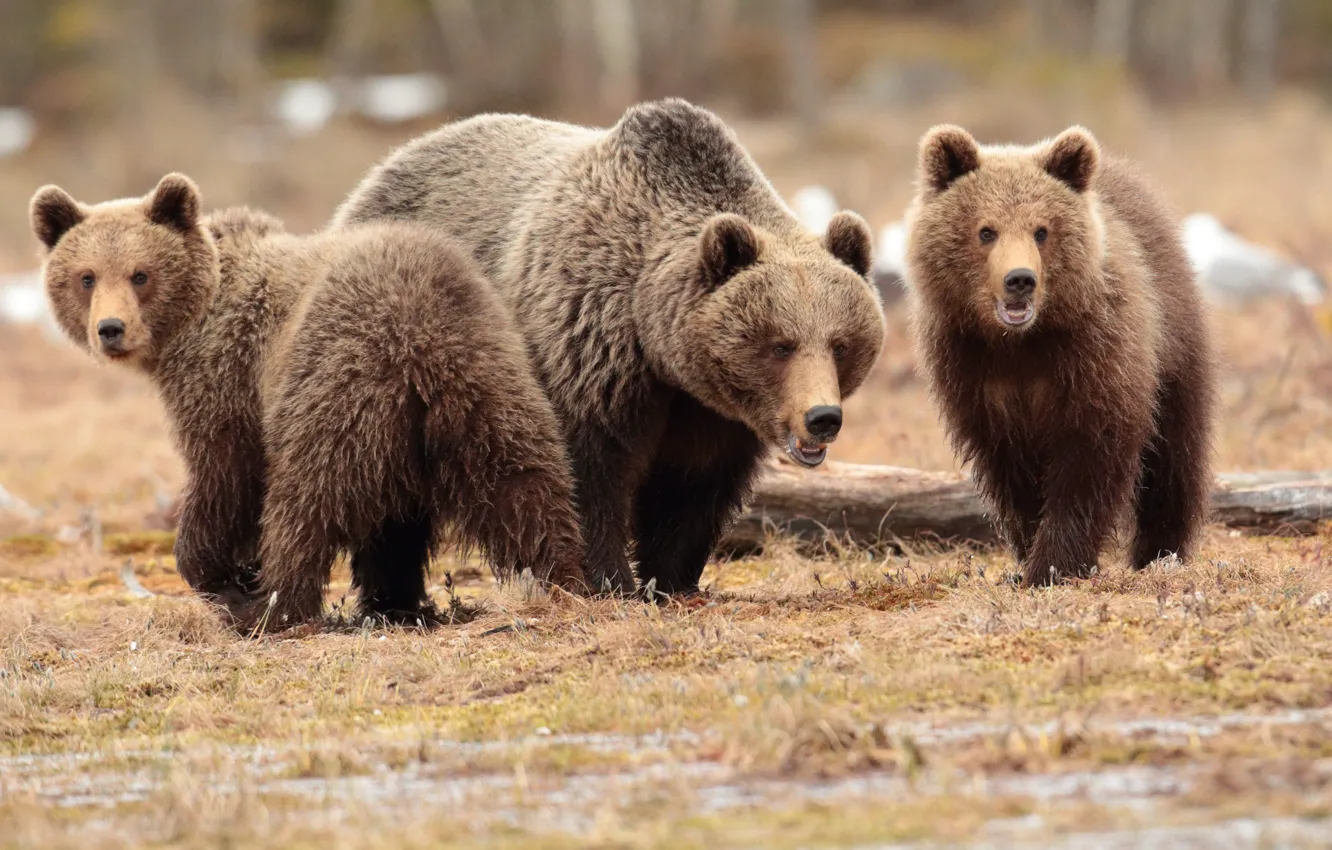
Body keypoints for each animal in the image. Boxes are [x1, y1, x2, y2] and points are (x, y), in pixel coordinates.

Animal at [31, 173, 589, 628]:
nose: (110, 329)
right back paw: (555, 580)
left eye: (140, 274)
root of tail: (420, 344)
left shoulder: (227, 375)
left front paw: (222, 572)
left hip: (332, 384)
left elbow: (224, 472)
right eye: (86, 276)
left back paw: (273, 606)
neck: (196, 318)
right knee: (524, 486)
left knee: (303, 504)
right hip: (489, 384)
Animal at [330, 98, 888, 597]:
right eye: (780, 345)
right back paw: (395, 601)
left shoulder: (709, 414)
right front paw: (607, 580)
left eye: (840, 343)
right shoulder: (586, 351)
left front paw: (672, 580)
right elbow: (584, 472)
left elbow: (692, 489)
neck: (657, 343)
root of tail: (381, 169)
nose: (822, 417)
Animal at [903, 124, 1217, 587]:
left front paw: (1055, 564)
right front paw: (1029, 555)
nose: (1020, 279)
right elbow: (1013, 473)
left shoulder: (1095, 353)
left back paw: (1162, 552)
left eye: (1041, 230)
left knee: (1174, 457)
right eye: (986, 230)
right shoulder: (972, 369)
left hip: (1173, 345)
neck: (1021, 342)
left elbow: (1089, 460)